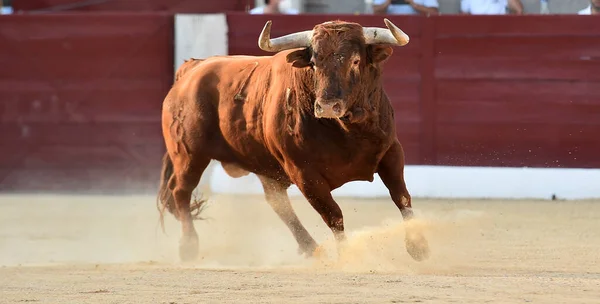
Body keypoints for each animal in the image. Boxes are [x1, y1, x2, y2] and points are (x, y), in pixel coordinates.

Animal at [158, 18, 432, 262]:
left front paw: (418, 247)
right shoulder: (304, 174)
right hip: (188, 155)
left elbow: (401, 196)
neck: (347, 132)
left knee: (277, 202)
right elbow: (333, 214)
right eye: (314, 62)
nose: (327, 106)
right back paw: (189, 246)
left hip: (261, 163)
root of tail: (191, 70)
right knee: (181, 191)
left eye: (355, 61)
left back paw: (311, 248)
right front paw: (347, 255)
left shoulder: (391, 151)